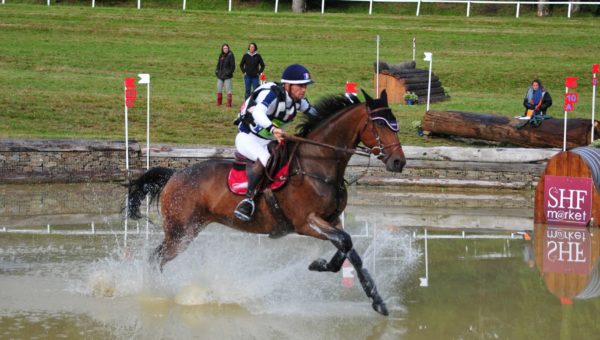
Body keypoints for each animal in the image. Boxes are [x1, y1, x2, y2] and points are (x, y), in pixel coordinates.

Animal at [128, 90, 406, 316]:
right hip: (181, 233)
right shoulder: (306, 223)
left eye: (395, 124)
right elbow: (345, 242)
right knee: (155, 259)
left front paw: (376, 300)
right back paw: (155, 292)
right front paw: (321, 265)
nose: (398, 162)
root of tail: (174, 175)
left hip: (186, 230)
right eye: (379, 125)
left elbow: (349, 250)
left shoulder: (331, 220)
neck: (319, 164)